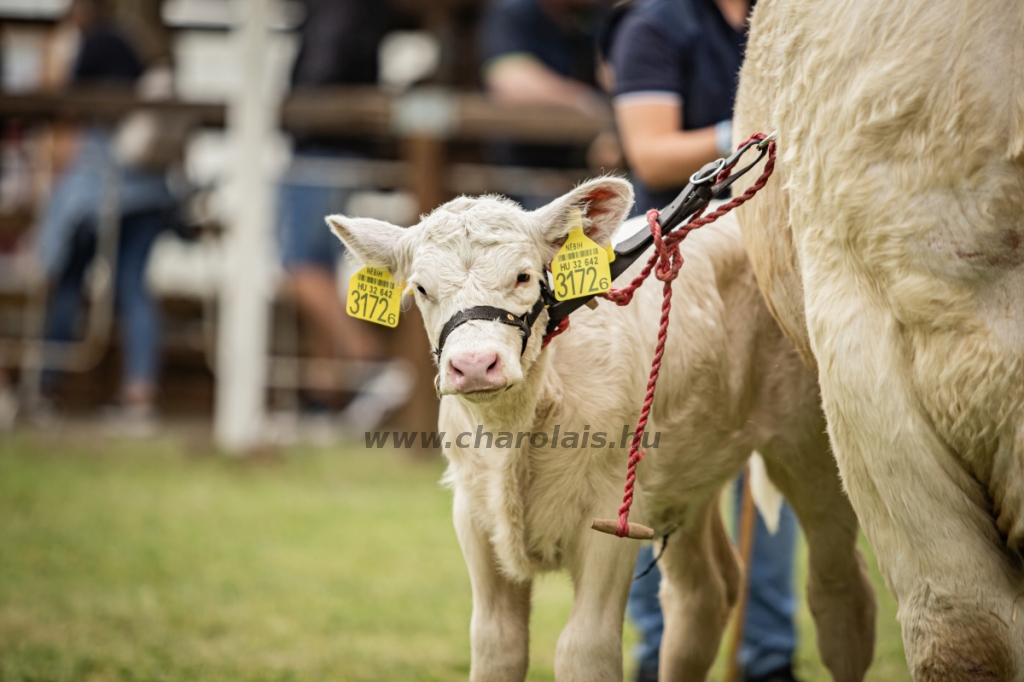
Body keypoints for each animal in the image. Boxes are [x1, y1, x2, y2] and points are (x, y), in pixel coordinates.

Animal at [325, 176, 872, 679]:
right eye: (420, 289)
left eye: (524, 276)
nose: (475, 365)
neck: (517, 429)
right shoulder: (474, 515)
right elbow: (496, 644)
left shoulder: (611, 514)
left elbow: (585, 649)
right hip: (685, 477)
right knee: (702, 596)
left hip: (812, 448)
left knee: (840, 595)